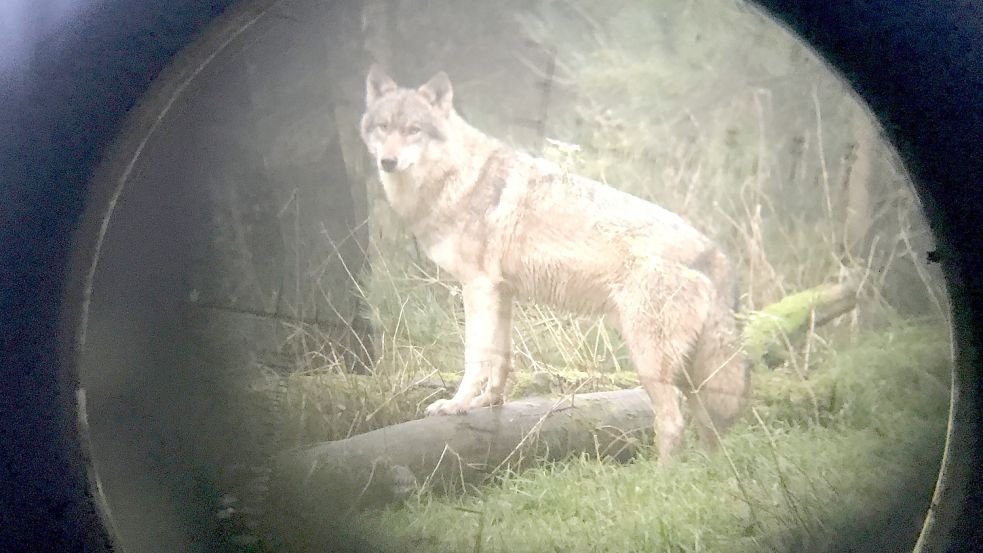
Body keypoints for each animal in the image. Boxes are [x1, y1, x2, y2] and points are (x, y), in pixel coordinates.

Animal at [362, 64, 752, 460]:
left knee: (673, 423)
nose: (387, 162)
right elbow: (501, 357)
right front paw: (489, 402)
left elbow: (475, 357)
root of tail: (716, 253)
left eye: (414, 129)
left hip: (649, 360)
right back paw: (707, 472)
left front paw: (456, 405)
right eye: (383, 127)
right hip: (688, 373)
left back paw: (662, 476)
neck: (456, 178)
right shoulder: (502, 293)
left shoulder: (477, 288)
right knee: (709, 429)